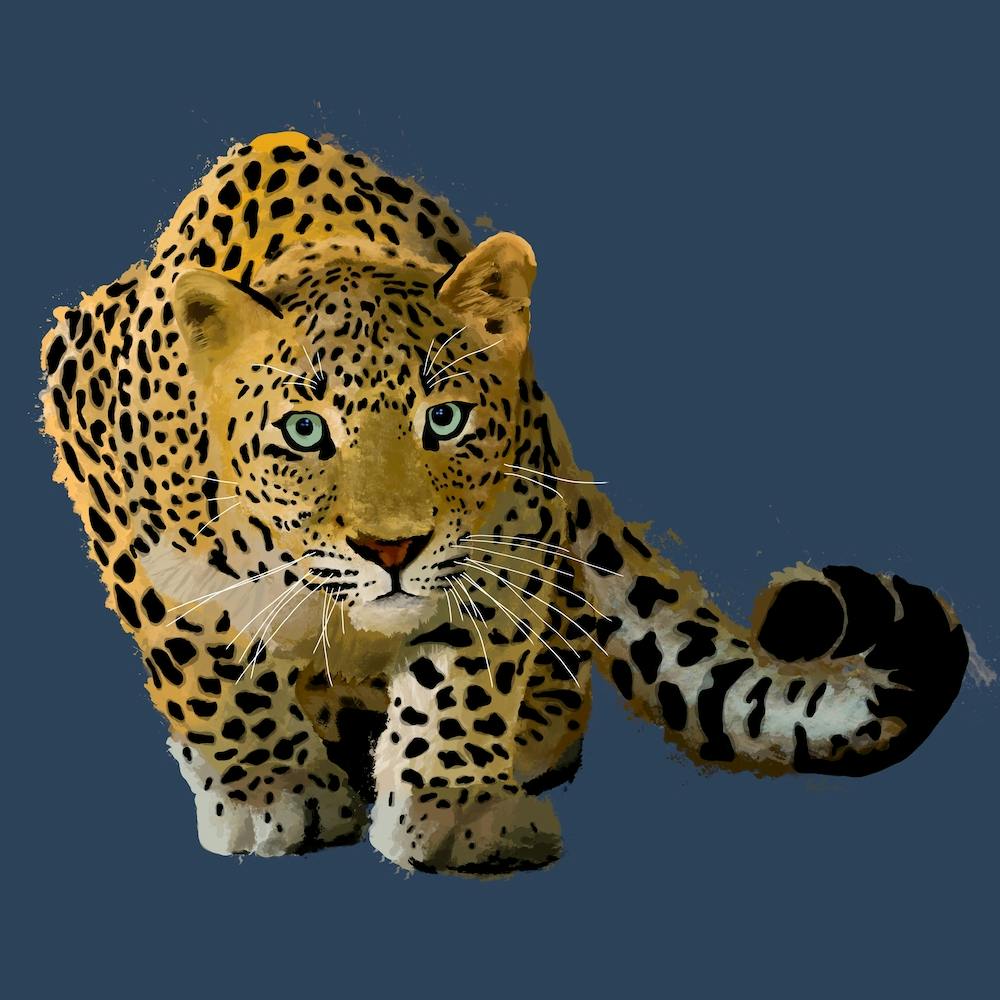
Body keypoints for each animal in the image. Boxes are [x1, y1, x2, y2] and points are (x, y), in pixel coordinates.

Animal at [38, 130, 969, 876]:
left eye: (445, 419)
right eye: (304, 431)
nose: (392, 550)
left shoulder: (508, 537)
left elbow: (464, 672)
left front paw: (456, 807)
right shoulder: (106, 465)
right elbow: (207, 662)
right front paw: (273, 789)